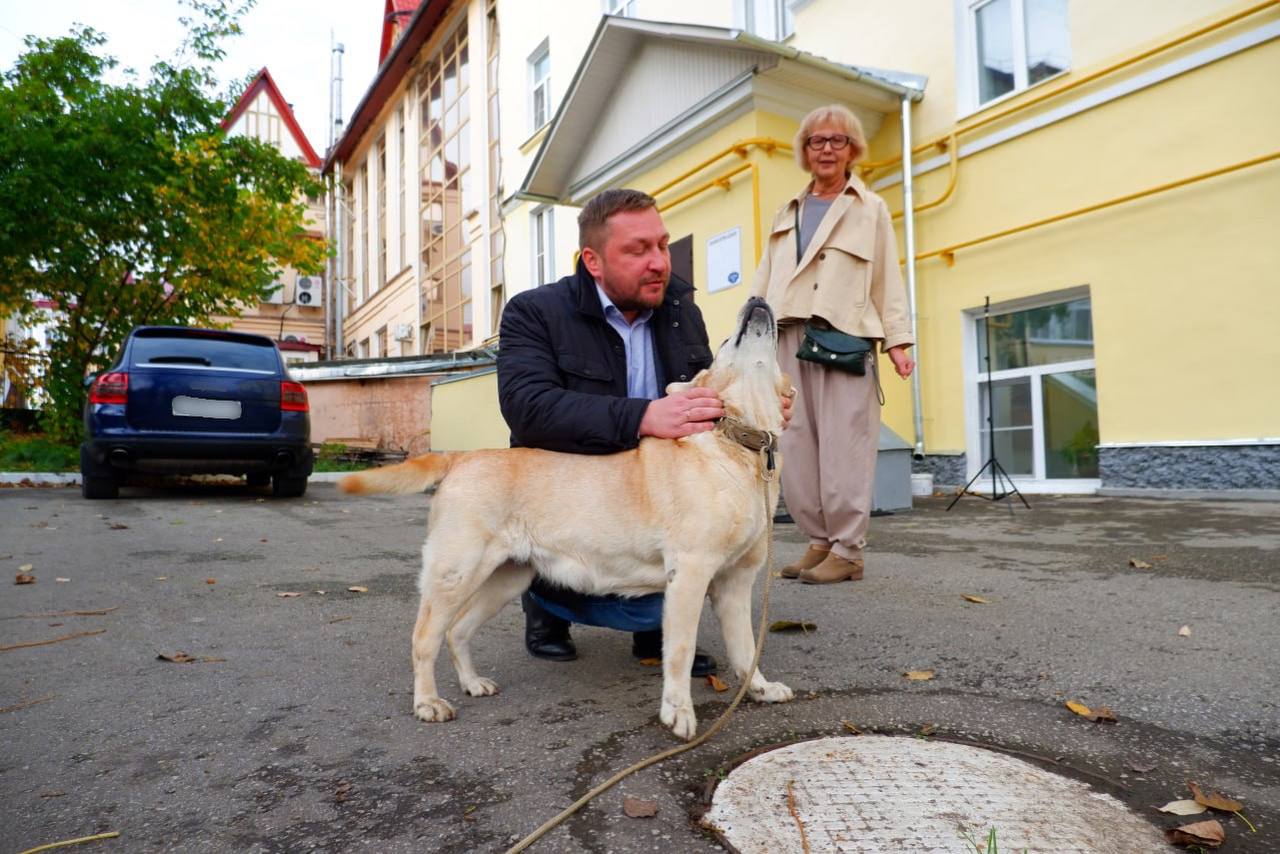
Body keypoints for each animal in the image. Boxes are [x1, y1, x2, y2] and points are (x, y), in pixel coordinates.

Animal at [345, 297, 793, 737]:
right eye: (725, 341)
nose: (756, 299)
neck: (741, 442)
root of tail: (461, 457)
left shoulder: (736, 582)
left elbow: (746, 648)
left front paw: (760, 688)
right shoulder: (690, 574)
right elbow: (679, 652)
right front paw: (678, 711)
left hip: (505, 578)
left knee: (458, 631)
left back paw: (472, 683)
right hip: (456, 573)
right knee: (424, 638)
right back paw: (427, 703)